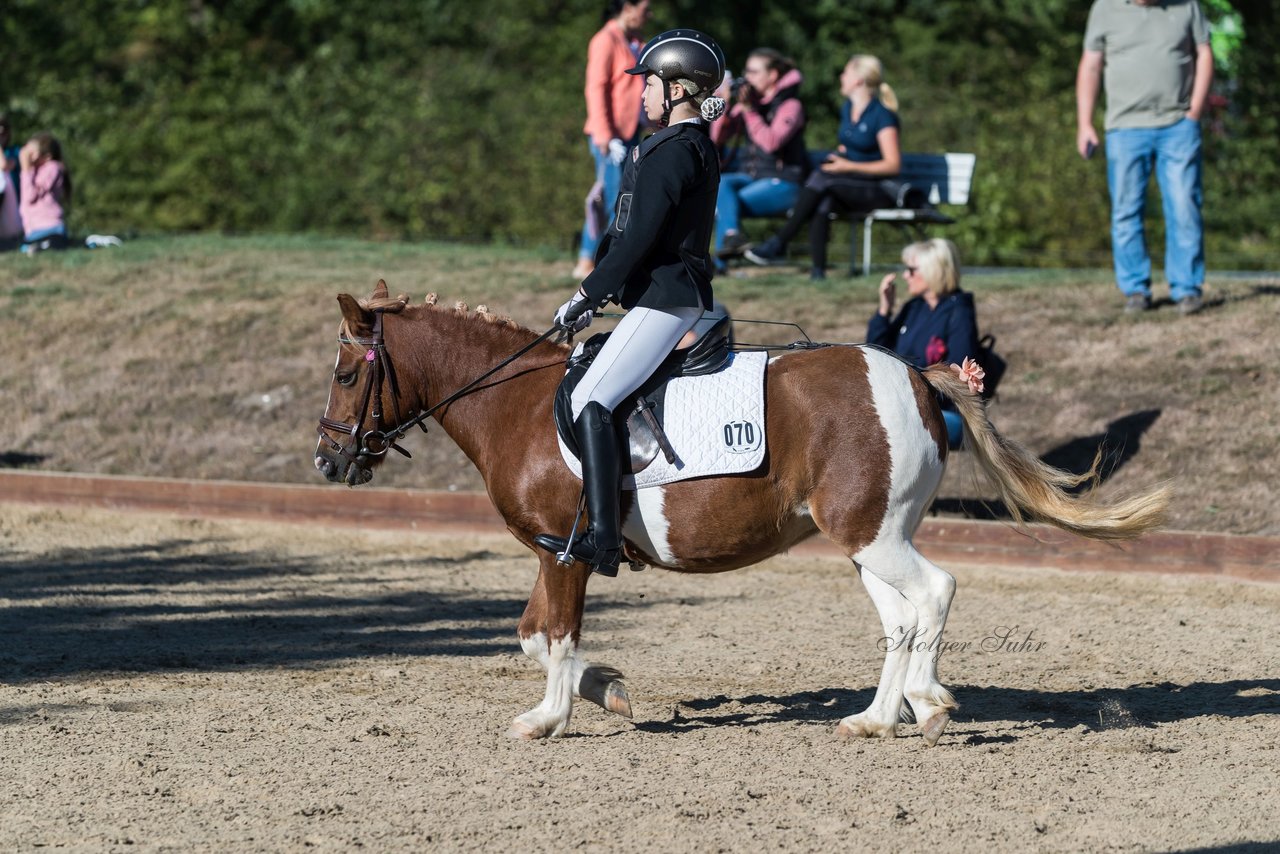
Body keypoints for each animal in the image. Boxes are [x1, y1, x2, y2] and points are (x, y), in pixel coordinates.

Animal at [312, 284, 1172, 742]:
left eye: (347, 375)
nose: (327, 462)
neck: (515, 404)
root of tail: (917, 377)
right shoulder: (555, 552)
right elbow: (531, 635)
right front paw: (610, 690)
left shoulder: (565, 552)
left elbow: (556, 636)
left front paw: (551, 718)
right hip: (871, 536)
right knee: (901, 617)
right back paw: (888, 712)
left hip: (872, 535)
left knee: (934, 593)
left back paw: (911, 713)